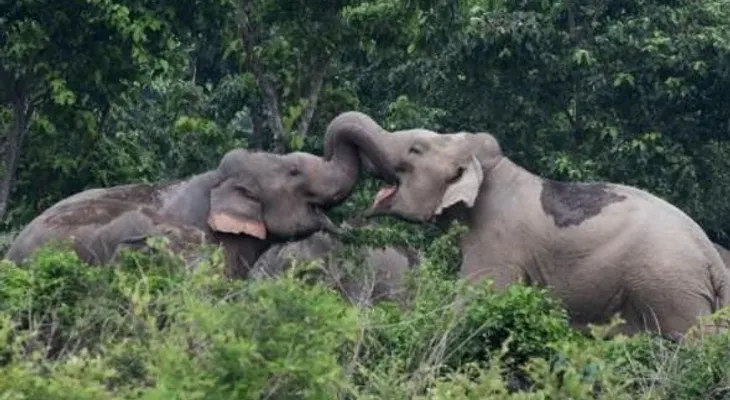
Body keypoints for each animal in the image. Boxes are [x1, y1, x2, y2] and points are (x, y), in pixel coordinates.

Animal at [320, 110, 730, 337]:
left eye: (415, 150)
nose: (324, 156)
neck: (496, 170)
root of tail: (711, 257)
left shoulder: (497, 243)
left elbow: (474, 304)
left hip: (670, 287)